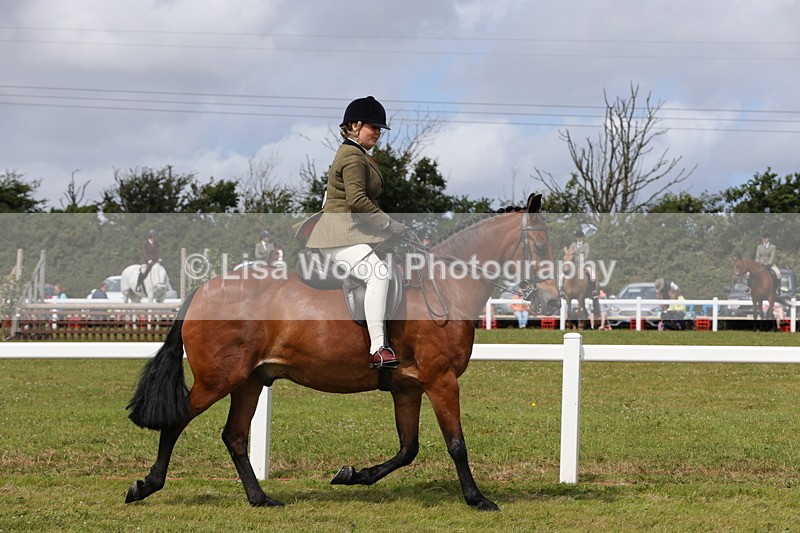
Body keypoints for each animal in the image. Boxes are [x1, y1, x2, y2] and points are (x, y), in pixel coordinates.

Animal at [124, 193, 560, 512]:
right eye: (539, 245)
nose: (553, 303)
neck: (443, 285)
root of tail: (202, 289)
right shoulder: (441, 381)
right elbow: (456, 444)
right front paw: (478, 499)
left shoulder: (409, 388)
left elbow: (408, 449)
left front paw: (352, 475)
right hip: (219, 379)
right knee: (178, 420)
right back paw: (146, 485)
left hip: (249, 380)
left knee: (234, 436)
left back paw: (260, 498)